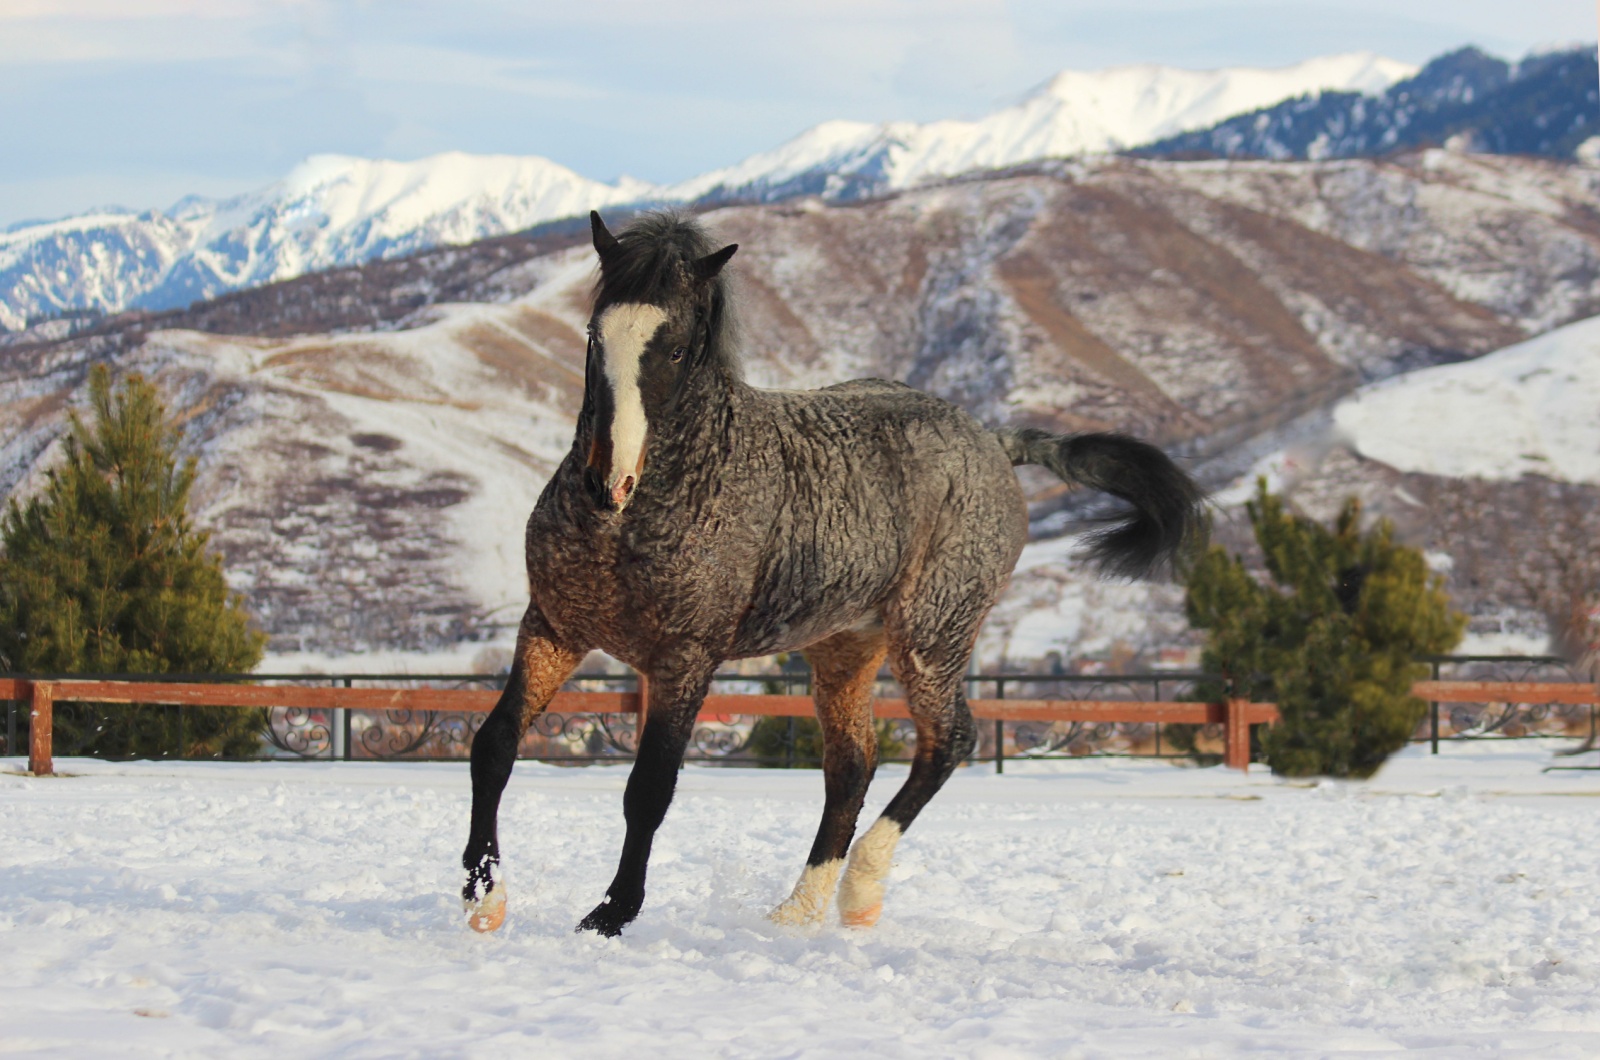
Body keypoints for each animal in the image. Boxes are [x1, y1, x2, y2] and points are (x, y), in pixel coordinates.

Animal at [457, 208, 1203, 941]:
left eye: (674, 350)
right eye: (593, 335)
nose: (606, 481)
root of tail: (993, 441)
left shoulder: (685, 660)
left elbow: (649, 788)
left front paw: (611, 913)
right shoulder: (553, 629)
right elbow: (494, 745)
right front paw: (483, 897)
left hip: (932, 636)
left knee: (949, 741)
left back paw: (859, 891)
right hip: (846, 649)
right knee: (852, 766)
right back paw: (800, 909)